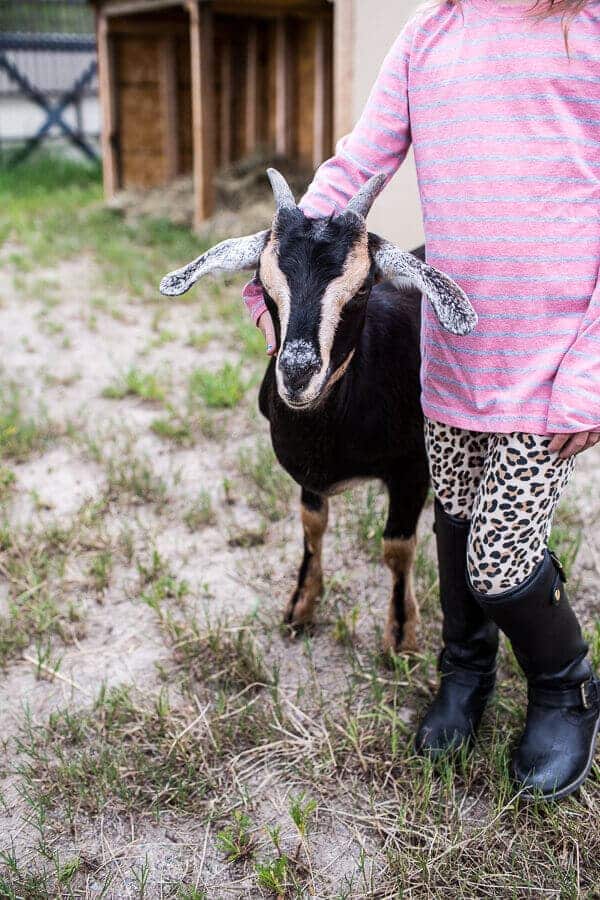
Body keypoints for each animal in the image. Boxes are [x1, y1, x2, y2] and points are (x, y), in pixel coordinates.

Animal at [161, 170, 476, 653]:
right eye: (261, 280)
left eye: (363, 286)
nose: (296, 372)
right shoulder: (307, 475)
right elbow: (312, 525)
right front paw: (302, 605)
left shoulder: (413, 468)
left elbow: (396, 546)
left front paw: (401, 634)